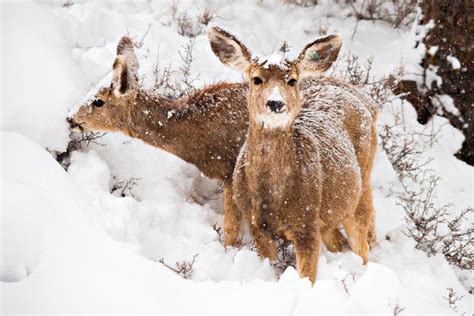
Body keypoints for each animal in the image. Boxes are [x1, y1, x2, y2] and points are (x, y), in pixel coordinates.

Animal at [209, 26, 380, 284]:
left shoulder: (306, 226)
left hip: (361, 184)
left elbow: (307, 277)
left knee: (362, 240)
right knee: (338, 241)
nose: (275, 103)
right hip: (330, 211)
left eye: (291, 80)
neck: (273, 198)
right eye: (256, 79)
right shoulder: (257, 225)